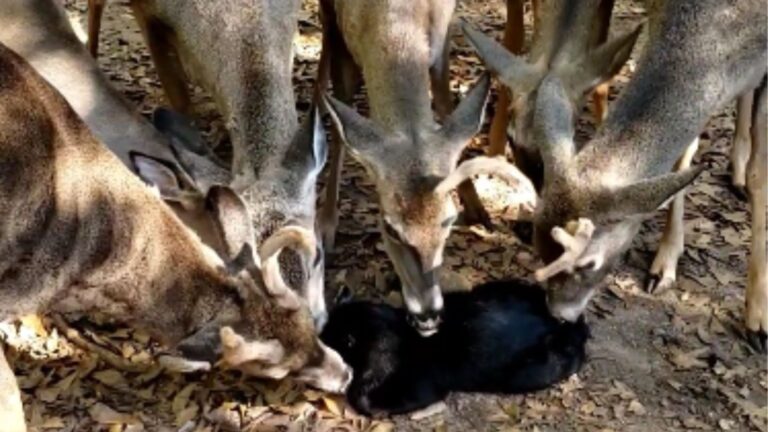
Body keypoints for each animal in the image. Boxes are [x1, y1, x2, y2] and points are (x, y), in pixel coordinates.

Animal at [315, 0, 536, 336]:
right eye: (390, 228)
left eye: (450, 220)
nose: (428, 316)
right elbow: (342, 112)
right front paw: (327, 224)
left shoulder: (443, 36)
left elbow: (445, 105)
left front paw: (478, 209)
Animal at [481, 0, 767, 350]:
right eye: (540, 248)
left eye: (588, 263)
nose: (559, 315)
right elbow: (683, 158)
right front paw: (665, 264)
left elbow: (760, 174)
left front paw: (757, 319)